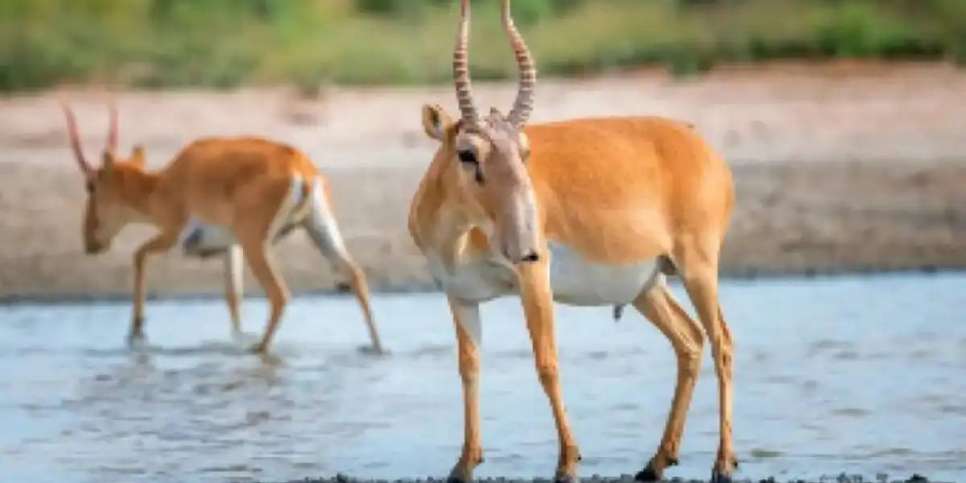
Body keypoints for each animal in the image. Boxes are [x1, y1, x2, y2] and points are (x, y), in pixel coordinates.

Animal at [60, 102, 384, 354]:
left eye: (91, 185)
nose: (90, 242)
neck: (164, 184)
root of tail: (299, 166)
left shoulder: (172, 234)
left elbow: (138, 255)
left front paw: (136, 332)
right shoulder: (231, 246)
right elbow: (233, 296)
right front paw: (236, 337)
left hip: (257, 244)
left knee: (279, 294)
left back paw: (259, 348)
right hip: (317, 228)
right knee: (355, 275)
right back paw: (377, 347)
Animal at [408, 0, 737, 482]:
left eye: (524, 151)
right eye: (468, 153)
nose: (527, 244)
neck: (461, 236)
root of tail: (701, 145)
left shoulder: (533, 280)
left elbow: (547, 363)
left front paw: (567, 462)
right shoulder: (459, 295)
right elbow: (468, 367)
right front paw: (464, 465)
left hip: (697, 269)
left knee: (722, 342)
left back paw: (723, 463)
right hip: (647, 286)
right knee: (691, 341)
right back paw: (656, 462)